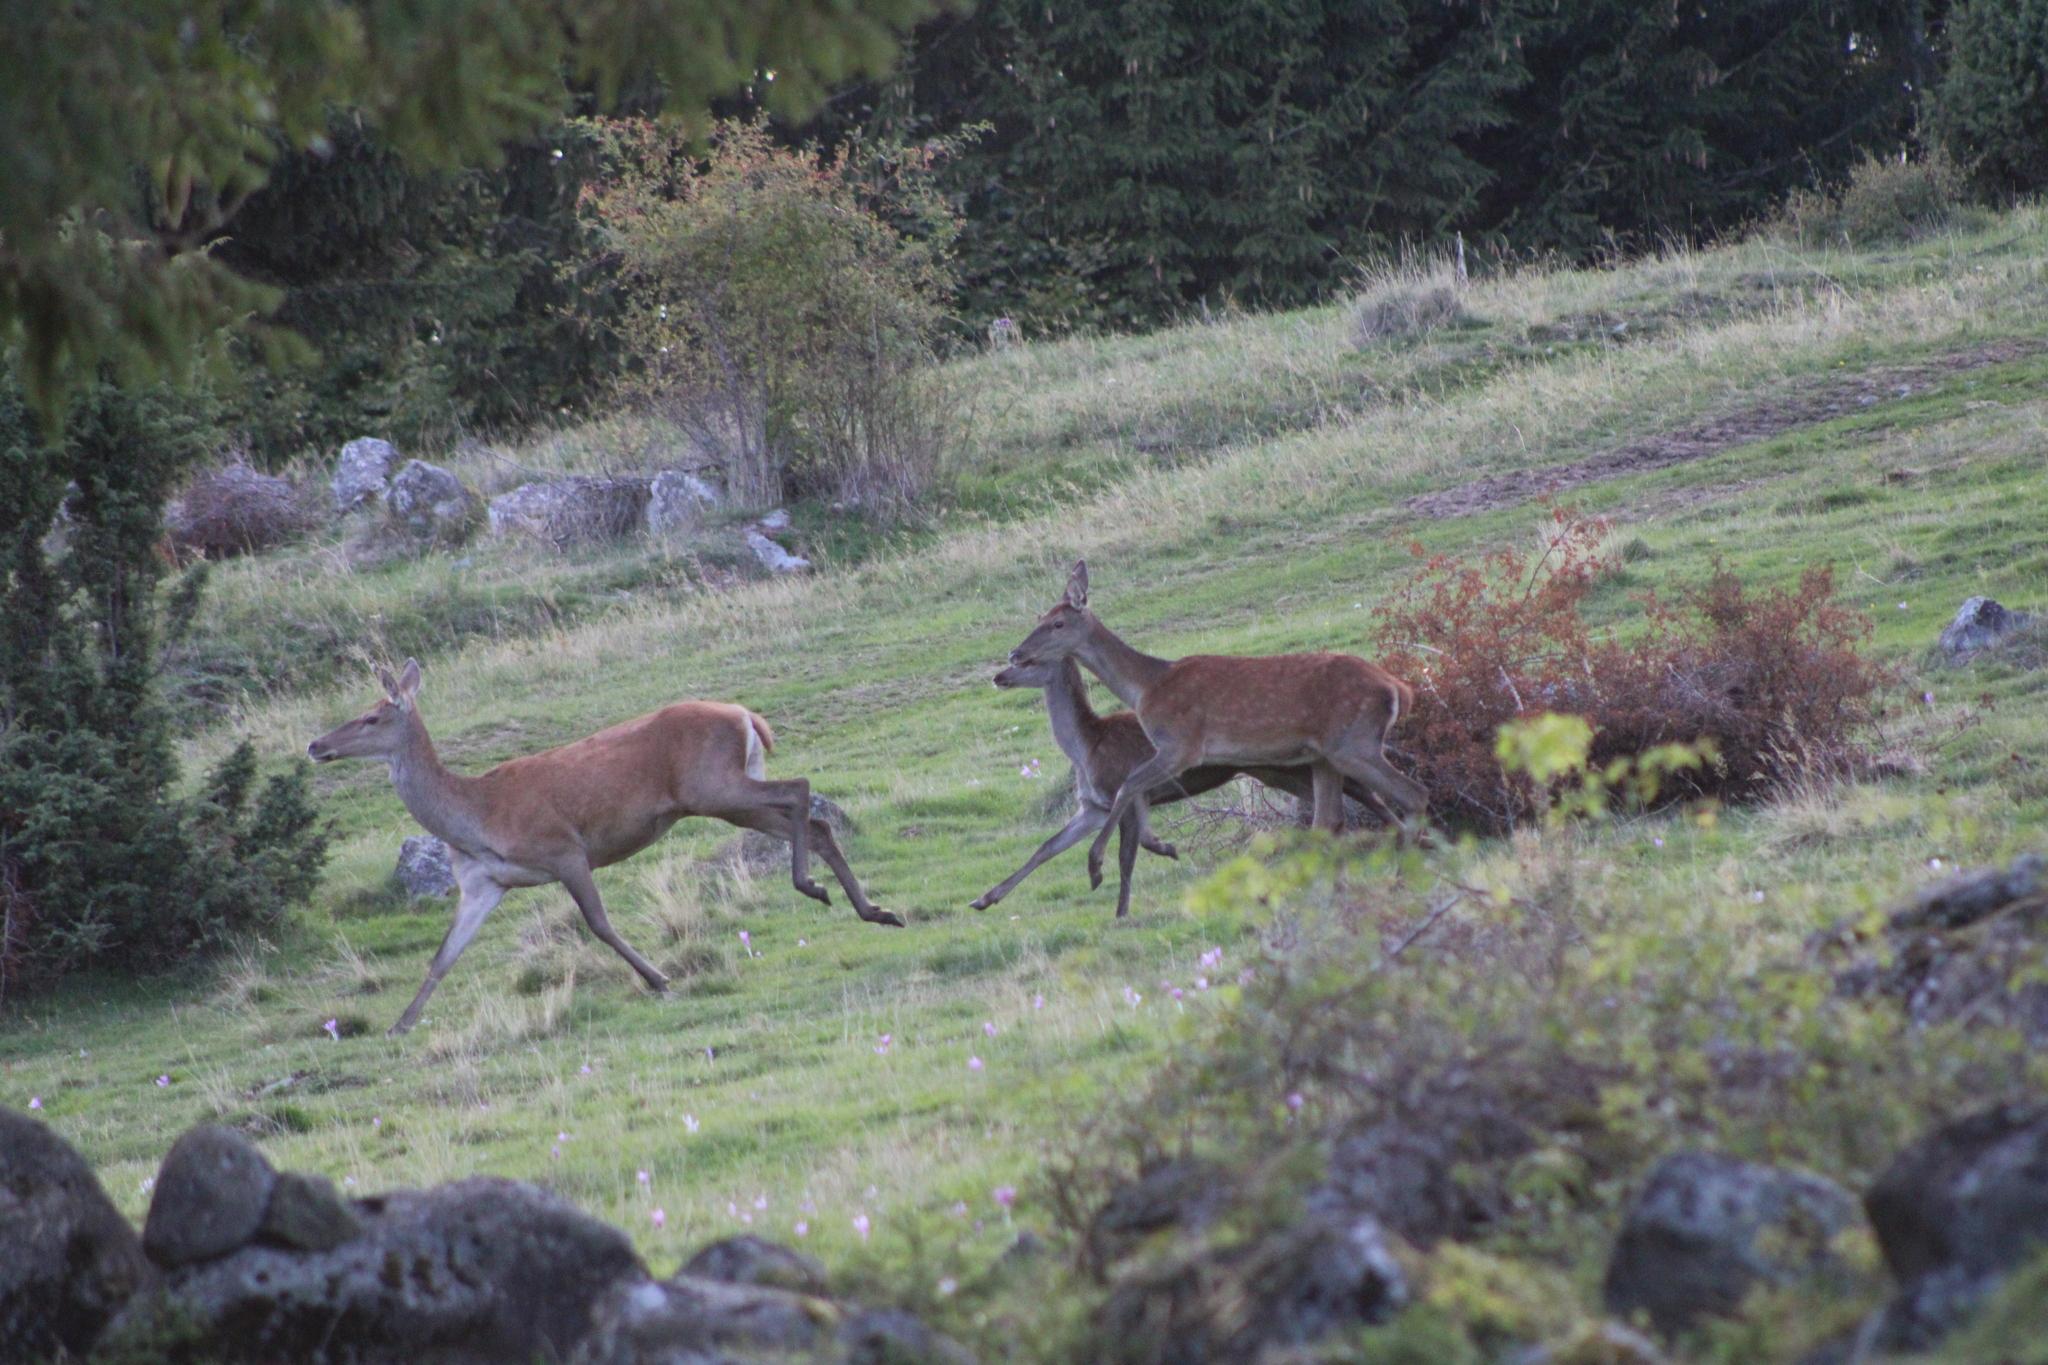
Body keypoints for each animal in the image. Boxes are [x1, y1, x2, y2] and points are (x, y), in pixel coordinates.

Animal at [306, 659, 900, 1036]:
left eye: (372, 716)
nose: (315, 745)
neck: (475, 818)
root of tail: (747, 715)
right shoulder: (482, 884)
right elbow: (443, 956)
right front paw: (400, 1024)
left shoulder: (564, 850)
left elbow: (599, 924)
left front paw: (659, 978)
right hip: (722, 796)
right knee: (815, 821)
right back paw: (873, 909)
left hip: (713, 785)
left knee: (799, 788)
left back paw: (813, 887)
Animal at [972, 656, 1389, 917]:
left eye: (1027, 661)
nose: (998, 676)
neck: (1087, 748)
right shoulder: (1094, 806)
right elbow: (1047, 847)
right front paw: (984, 899)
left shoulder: (1125, 793)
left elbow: (1127, 854)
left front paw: (1122, 910)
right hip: (1278, 770)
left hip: (1281, 768)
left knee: (1359, 790)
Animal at [1005, 561, 1428, 891]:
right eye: (1040, 619)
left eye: (1058, 623)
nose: (1015, 653)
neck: (1146, 688)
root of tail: (1398, 688)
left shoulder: (1181, 744)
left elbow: (1127, 786)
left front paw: (1095, 865)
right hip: (1326, 755)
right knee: (1331, 820)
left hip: (1353, 742)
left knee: (1412, 793)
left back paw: (1402, 877)